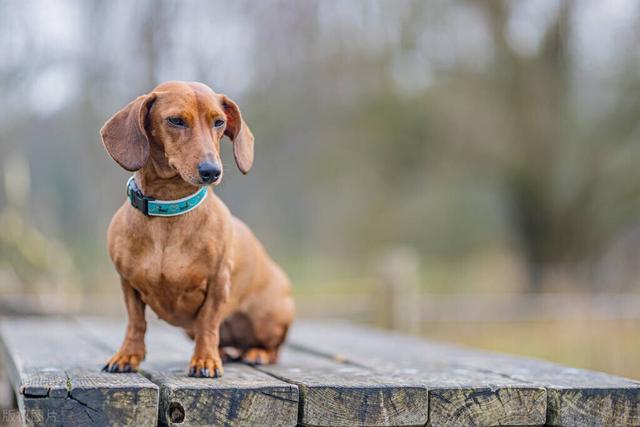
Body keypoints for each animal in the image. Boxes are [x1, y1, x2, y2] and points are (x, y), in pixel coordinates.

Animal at [99, 80, 296, 378]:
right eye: (176, 120)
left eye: (219, 122)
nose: (211, 171)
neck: (169, 209)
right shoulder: (128, 283)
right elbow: (136, 322)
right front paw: (127, 355)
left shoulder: (217, 284)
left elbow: (208, 323)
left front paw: (205, 360)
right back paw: (224, 353)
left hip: (268, 317)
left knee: (274, 349)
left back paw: (256, 353)